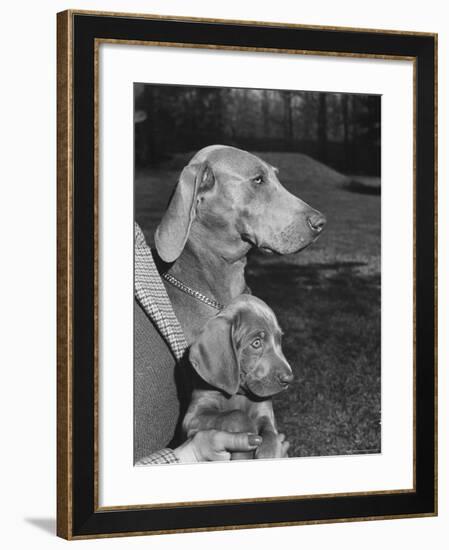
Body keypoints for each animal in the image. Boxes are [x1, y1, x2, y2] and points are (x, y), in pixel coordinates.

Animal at [183, 298, 294, 462]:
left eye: (279, 339)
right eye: (256, 343)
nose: (289, 378)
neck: (239, 394)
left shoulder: (266, 415)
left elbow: (271, 438)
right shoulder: (193, 417)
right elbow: (236, 415)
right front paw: (248, 441)